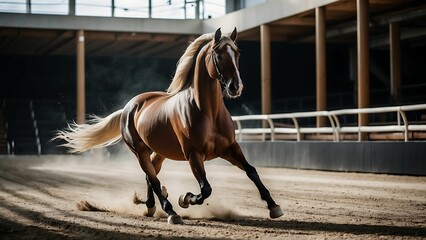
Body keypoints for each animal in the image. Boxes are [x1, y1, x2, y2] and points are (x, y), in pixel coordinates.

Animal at [55, 28, 284, 225]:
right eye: (218, 54)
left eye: (237, 53)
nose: (236, 87)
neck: (207, 111)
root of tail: (130, 106)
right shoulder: (194, 155)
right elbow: (206, 189)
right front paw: (186, 198)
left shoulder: (229, 148)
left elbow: (252, 171)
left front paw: (274, 207)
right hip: (140, 151)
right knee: (153, 179)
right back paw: (171, 212)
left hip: (159, 153)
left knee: (151, 176)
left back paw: (150, 206)